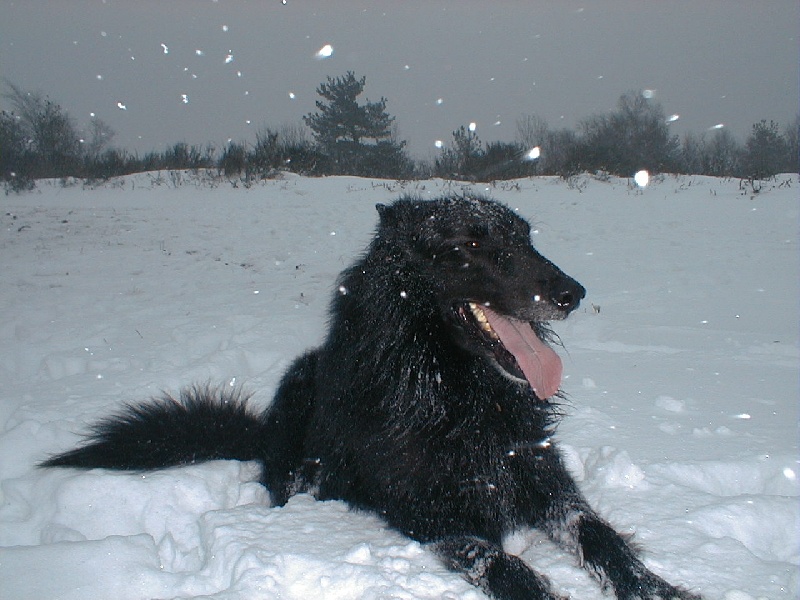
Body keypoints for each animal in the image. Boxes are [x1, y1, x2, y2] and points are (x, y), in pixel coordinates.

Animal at [40, 197, 696, 600]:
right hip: (300, 404)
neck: (460, 395)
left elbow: (602, 537)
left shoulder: (541, 478)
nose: (573, 292)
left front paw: (661, 588)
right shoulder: (431, 513)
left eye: (527, 238)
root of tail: (263, 428)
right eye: (472, 244)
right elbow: (505, 563)